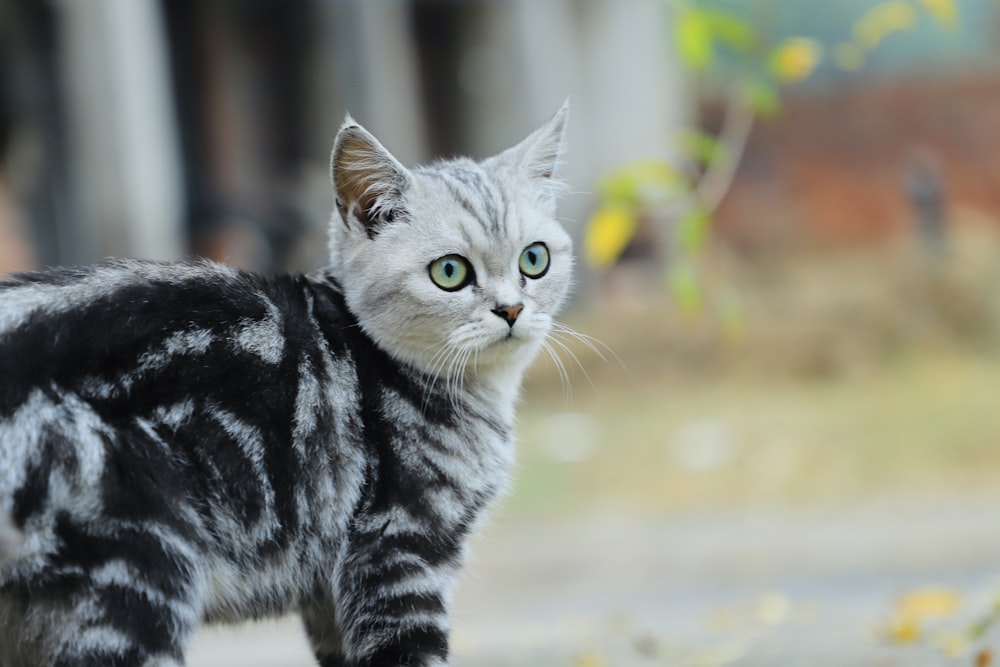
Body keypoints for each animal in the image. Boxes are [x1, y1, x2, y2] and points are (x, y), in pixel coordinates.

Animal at [0, 104, 572, 667]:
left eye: (534, 259)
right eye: (449, 272)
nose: (511, 309)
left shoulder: (332, 598)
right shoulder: (395, 554)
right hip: (136, 572)